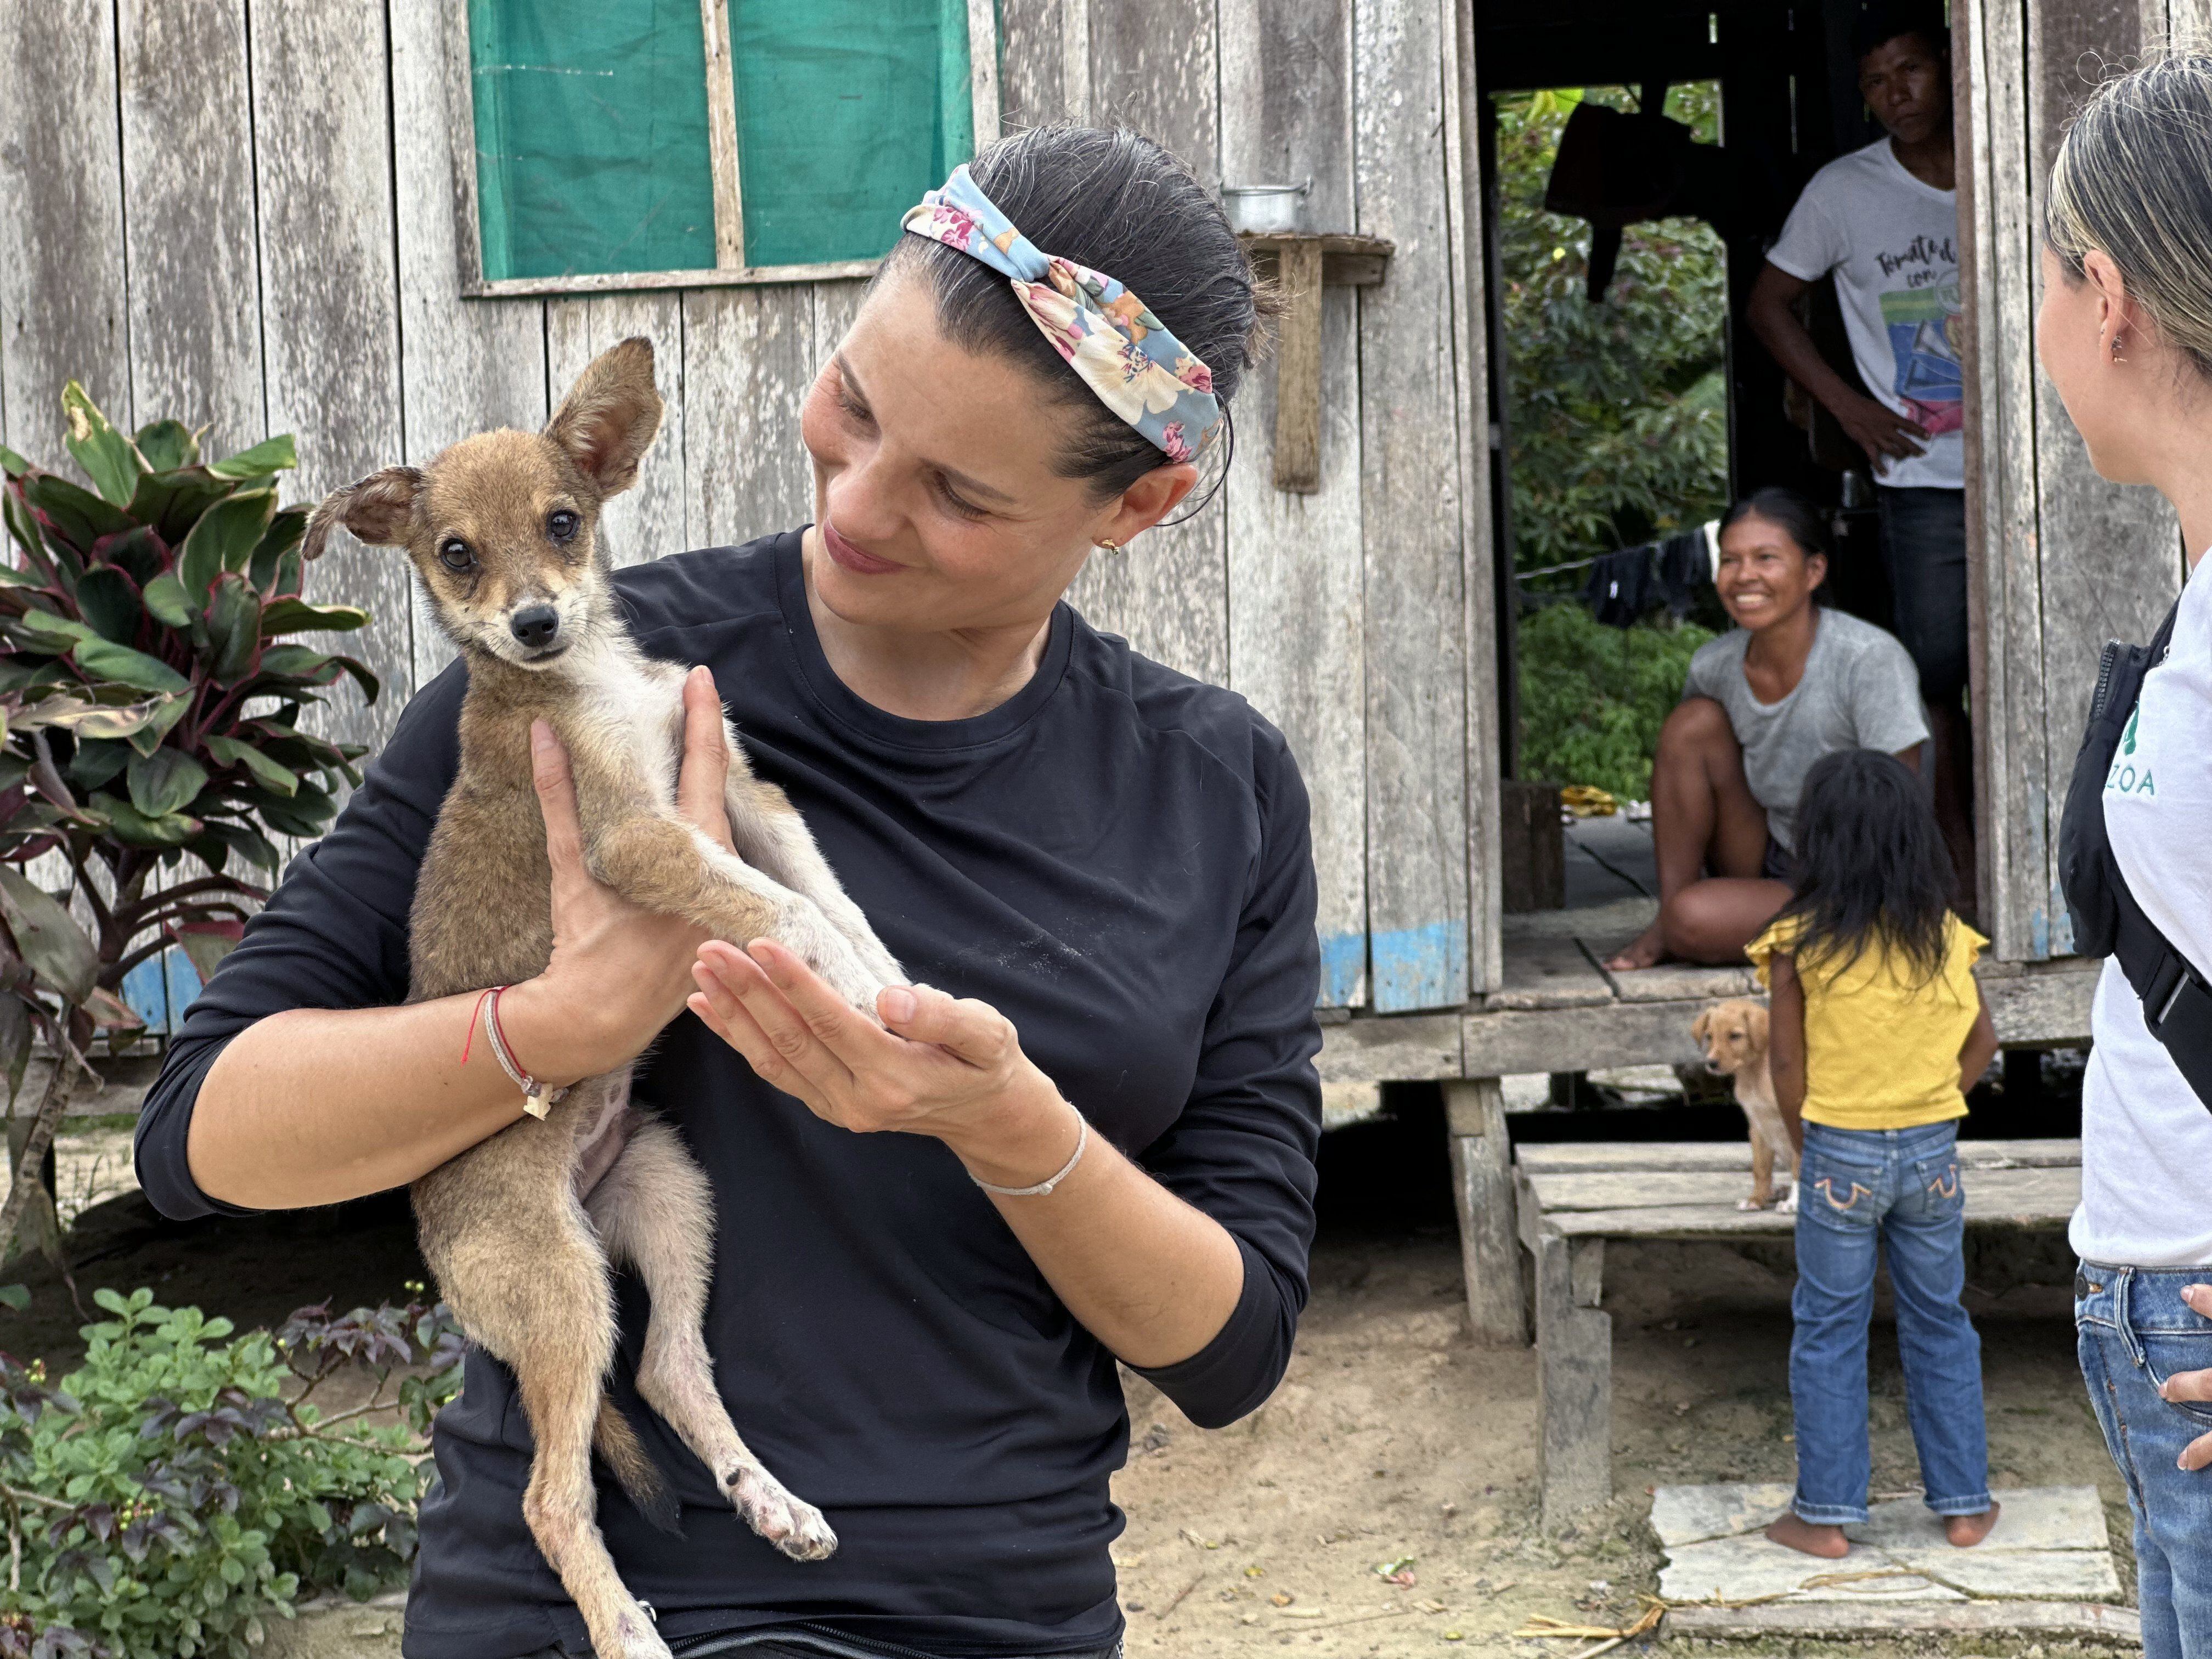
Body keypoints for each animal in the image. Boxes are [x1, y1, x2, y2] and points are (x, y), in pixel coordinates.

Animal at [307, 338, 902, 1659]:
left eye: (564, 522)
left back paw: (770, 1504)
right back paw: (625, 1625)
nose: (532, 622)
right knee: (549, 1492)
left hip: (672, 1197)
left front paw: (902, 990)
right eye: (455, 554)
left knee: (674, 1370)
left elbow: (835, 901)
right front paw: (842, 990)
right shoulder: (645, 839)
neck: (590, 681)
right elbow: (786, 917)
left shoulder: (744, 798)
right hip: (565, 1292)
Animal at [1690, 1000, 1796, 1221]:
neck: (1754, 1076)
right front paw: (1756, 1199)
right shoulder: (1758, 1128)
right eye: (1709, 1036)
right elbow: (1760, 1170)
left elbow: (1799, 1167)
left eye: (1735, 1036)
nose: (1711, 1063)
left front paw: (1793, 1203)